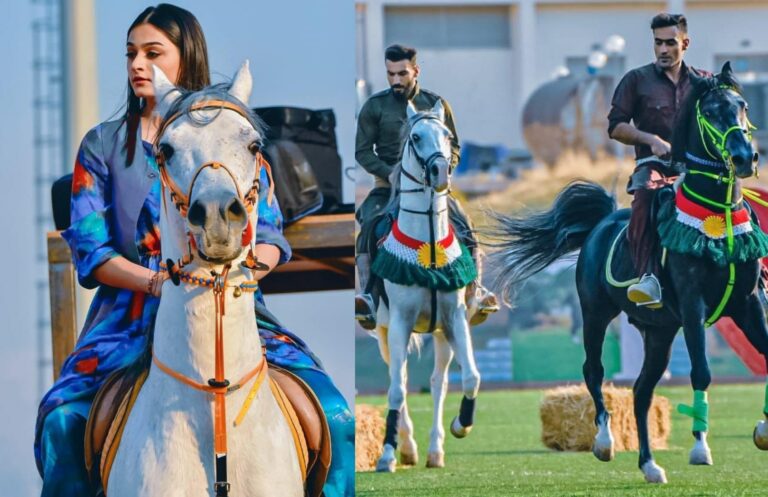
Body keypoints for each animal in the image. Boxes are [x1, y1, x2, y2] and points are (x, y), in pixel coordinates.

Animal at [372, 101, 480, 472]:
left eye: (447, 135)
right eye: (415, 137)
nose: (440, 172)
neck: (429, 245)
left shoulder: (455, 319)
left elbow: (471, 377)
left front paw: (462, 424)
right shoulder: (399, 322)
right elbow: (396, 389)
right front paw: (387, 454)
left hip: (440, 332)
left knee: (437, 384)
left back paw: (435, 450)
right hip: (384, 331)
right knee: (399, 379)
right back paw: (405, 448)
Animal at [486, 63, 768, 484]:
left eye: (742, 105)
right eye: (711, 111)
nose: (745, 157)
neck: (718, 217)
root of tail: (603, 220)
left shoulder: (748, 304)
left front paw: (762, 429)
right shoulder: (693, 306)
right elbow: (701, 371)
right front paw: (700, 448)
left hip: (659, 331)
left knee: (640, 391)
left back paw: (650, 464)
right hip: (595, 314)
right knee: (594, 371)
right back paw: (605, 441)